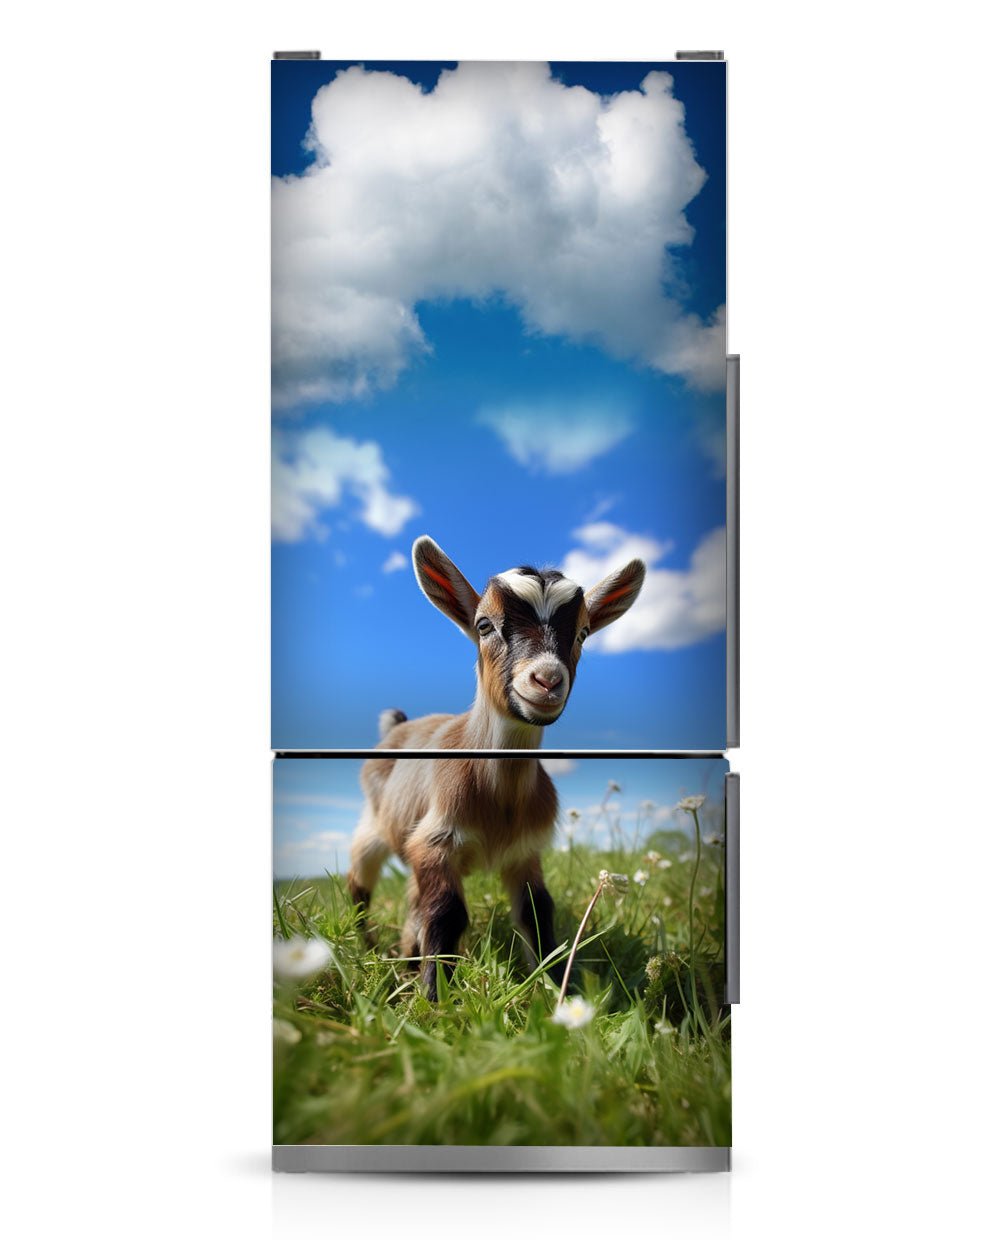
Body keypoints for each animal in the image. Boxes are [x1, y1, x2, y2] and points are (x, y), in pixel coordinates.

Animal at [347, 535, 645, 999]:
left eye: (582, 632)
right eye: (485, 625)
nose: (547, 679)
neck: (498, 799)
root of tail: (398, 726)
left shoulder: (525, 852)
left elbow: (538, 912)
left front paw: (558, 990)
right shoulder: (436, 840)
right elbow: (447, 913)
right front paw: (434, 998)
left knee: (413, 900)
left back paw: (406, 958)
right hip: (374, 827)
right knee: (359, 885)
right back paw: (372, 948)